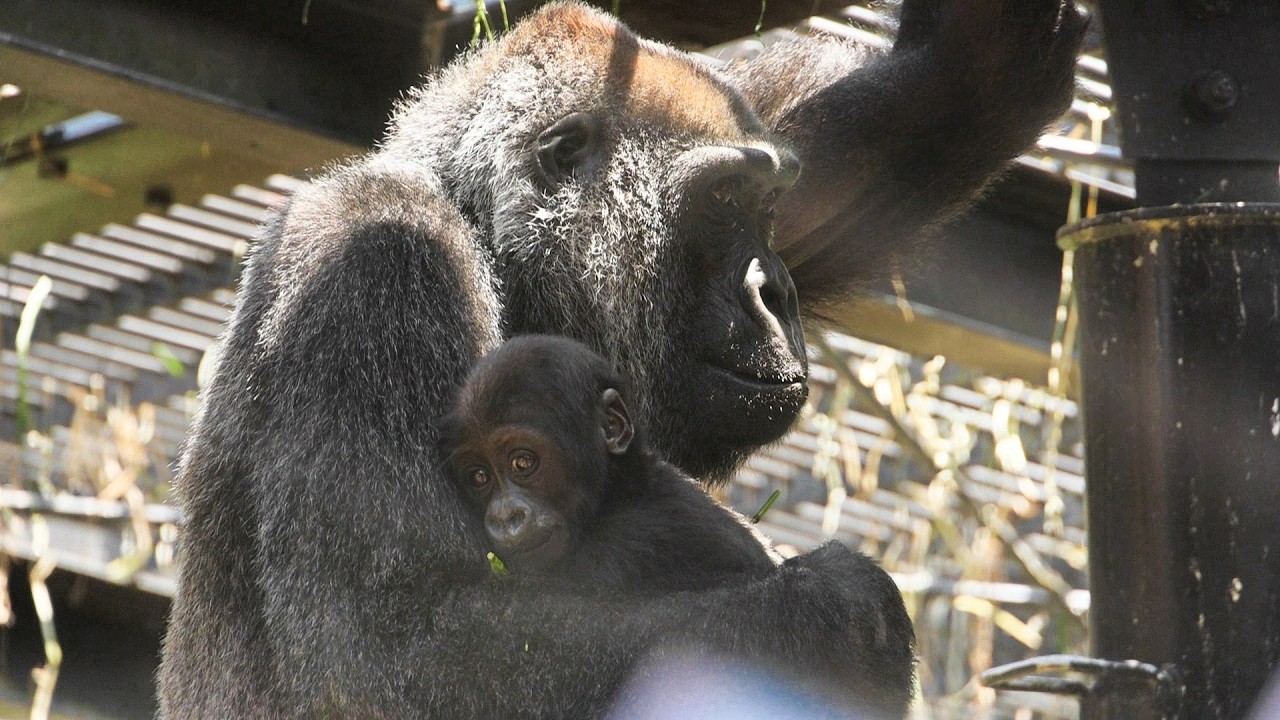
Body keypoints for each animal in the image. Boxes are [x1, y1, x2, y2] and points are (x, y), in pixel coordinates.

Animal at [159, 2, 1085, 718]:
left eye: (769, 208)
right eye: (721, 203)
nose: (775, 290)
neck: (489, 236)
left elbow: (922, 118)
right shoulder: (375, 258)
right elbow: (389, 654)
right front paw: (839, 619)